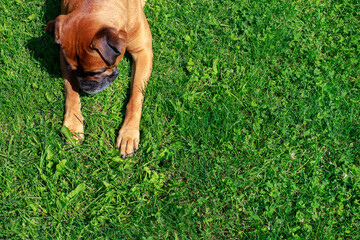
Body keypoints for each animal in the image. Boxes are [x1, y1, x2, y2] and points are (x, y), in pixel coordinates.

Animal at [46, 0, 152, 158]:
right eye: (72, 70)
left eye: (99, 71)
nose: (85, 87)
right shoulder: (64, 59)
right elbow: (71, 92)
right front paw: (73, 125)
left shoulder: (143, 52)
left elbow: (135, 96)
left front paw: (129, 133)